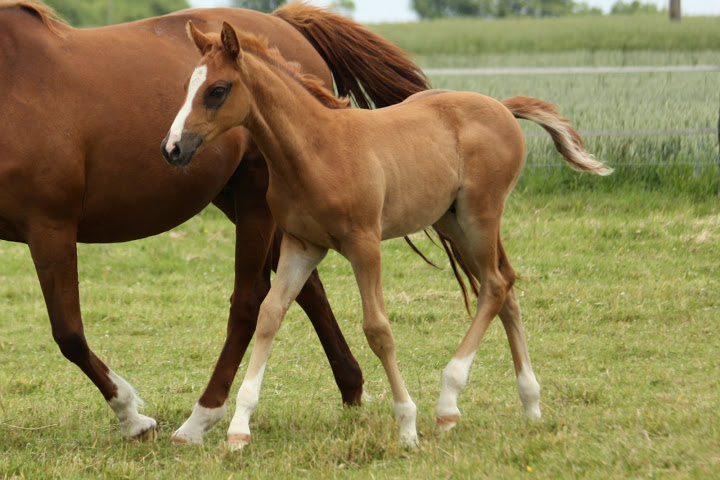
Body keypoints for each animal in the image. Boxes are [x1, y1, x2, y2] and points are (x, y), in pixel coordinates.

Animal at [0, 0, 430, 444]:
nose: (171, 147)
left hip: (256, 202)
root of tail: (284, 23)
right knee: (306, 291)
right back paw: (350, 388)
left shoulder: (50, 227)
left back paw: (202, 416)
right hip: (252, 206)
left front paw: (132, 416)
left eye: (216, 91)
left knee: (248, 302)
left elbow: (68, 333)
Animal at [165, 22, 612, 450]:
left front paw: (407, 426)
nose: (172, 149)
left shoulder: (365, 245)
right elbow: (270, 316)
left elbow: (377, 329)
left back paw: (448, 404)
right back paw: (529, 404)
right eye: (187, 86)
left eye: (217, 90)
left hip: (480, 214)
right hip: (452, 220)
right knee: (506, 284)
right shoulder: (301, 245)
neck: (316, 150)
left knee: (495, 285)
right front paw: (238, 429)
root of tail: (502, 107)